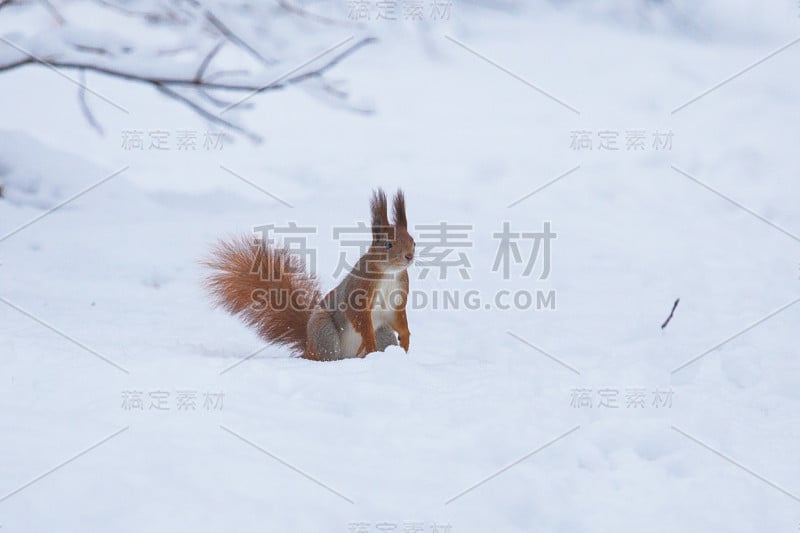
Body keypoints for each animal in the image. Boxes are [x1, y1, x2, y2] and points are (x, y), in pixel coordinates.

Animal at [203, 188, 416, 362]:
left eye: (413, 241)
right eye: (388, 244)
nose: (409, 256)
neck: (389, 273)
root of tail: (308, 347)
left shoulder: (397, 298)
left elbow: (399, 320)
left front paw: (405, 339)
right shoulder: (358, 290)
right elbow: (359, 316)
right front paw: (369, 341)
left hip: (384, 333)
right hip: (324, 330)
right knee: (327, 355)